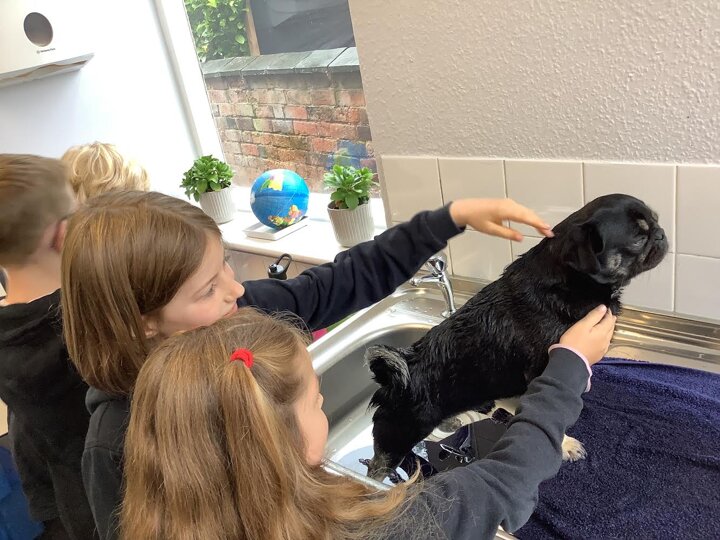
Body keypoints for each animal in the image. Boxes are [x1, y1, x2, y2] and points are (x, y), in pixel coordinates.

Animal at [365, 194, 668, 480]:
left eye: (655, 220)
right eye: (639, 236)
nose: (661, 233)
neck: (571, 282)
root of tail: (392, 380)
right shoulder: (543, 369)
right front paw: (565, 445)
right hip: (397, 435)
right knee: (378, 465)